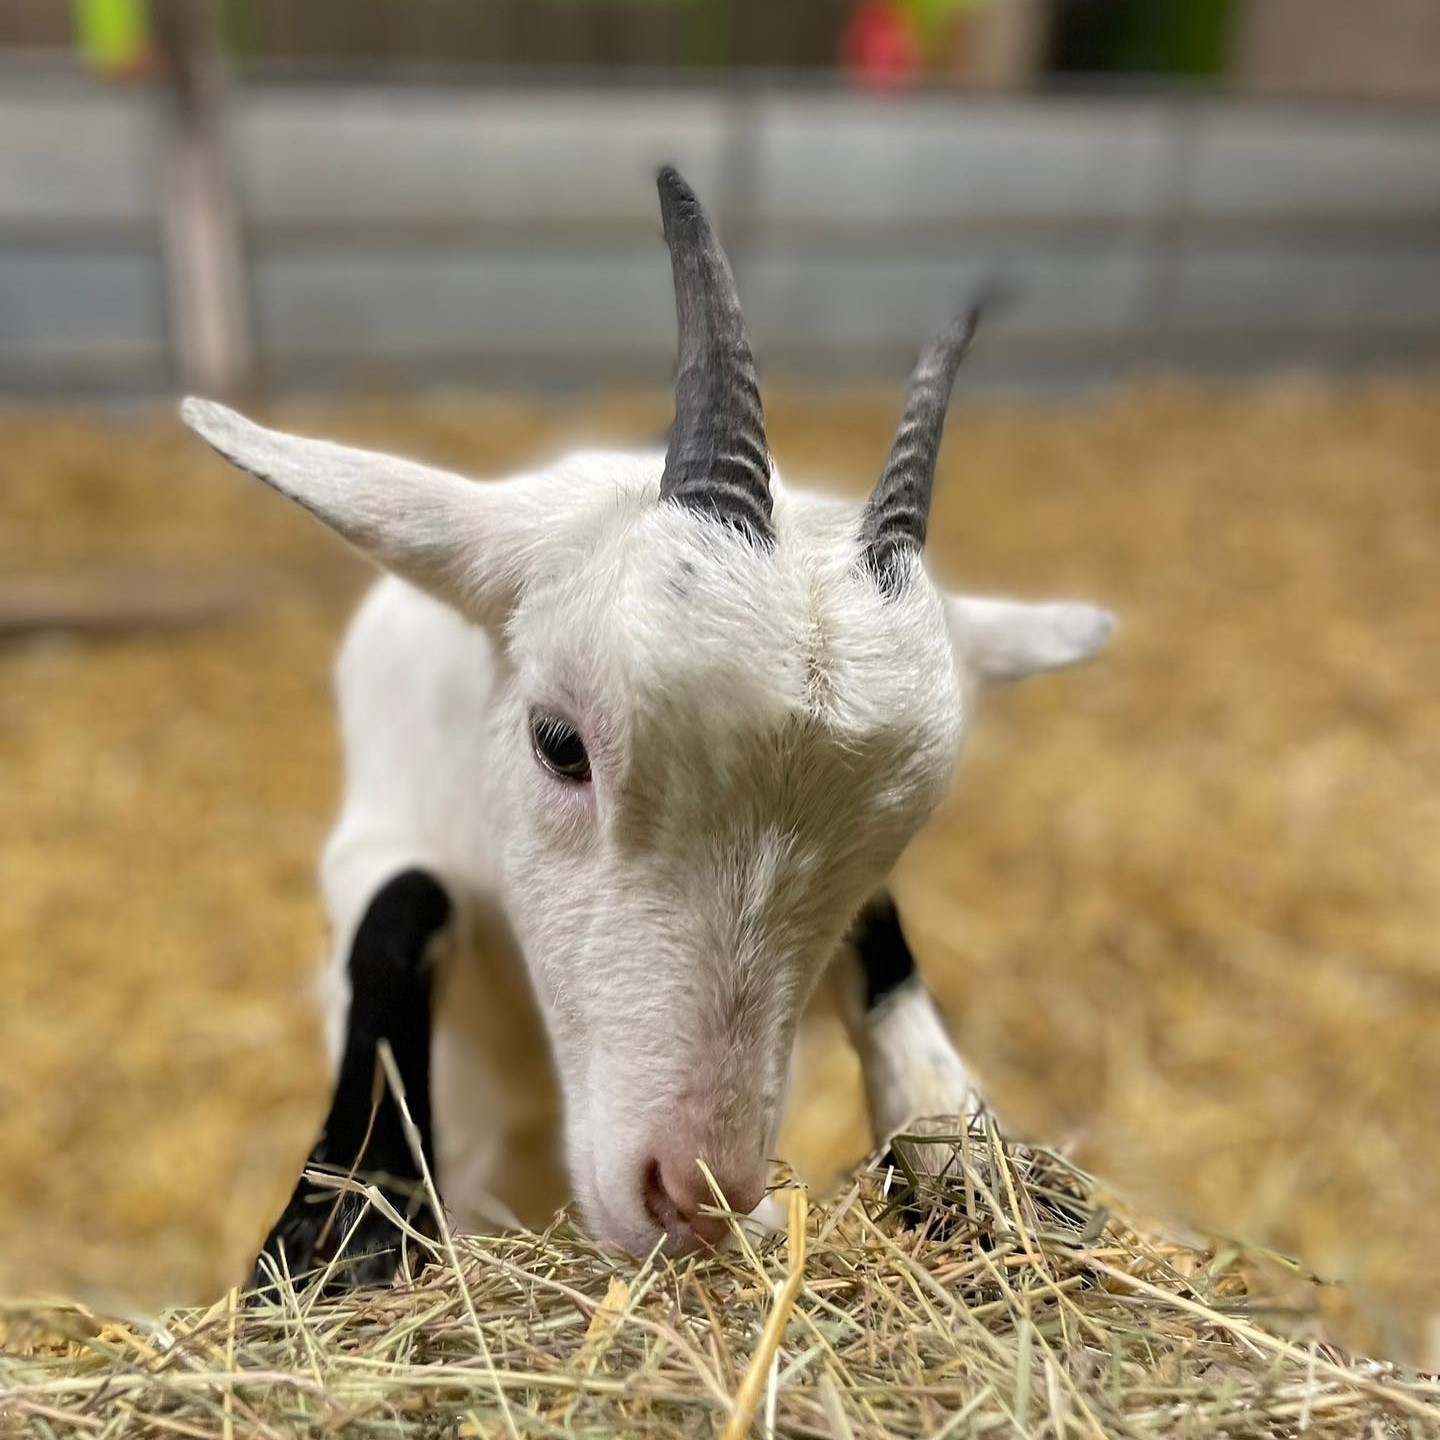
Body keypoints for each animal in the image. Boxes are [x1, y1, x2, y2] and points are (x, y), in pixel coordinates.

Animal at [180, 168, 1113, 1285]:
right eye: (559, 744)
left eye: (893, 837)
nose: (694, 1195)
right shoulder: (375, 839)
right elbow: (397, 910)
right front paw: (344, 1235)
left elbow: (890, 951)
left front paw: (970, 1158)